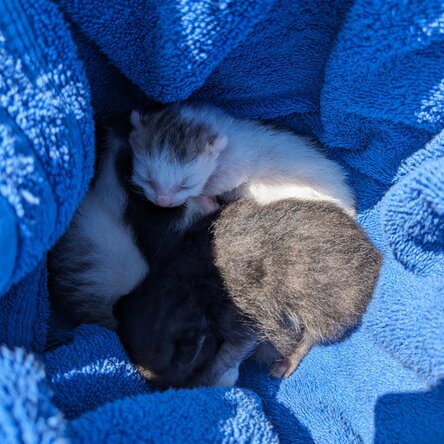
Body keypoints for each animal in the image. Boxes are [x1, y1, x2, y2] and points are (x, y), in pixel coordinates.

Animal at [127, 104, 354, 215]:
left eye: (186, 184)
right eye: (146, 179)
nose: (162, 203)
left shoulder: (238, 163)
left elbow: (221, 182)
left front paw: (203, 197)